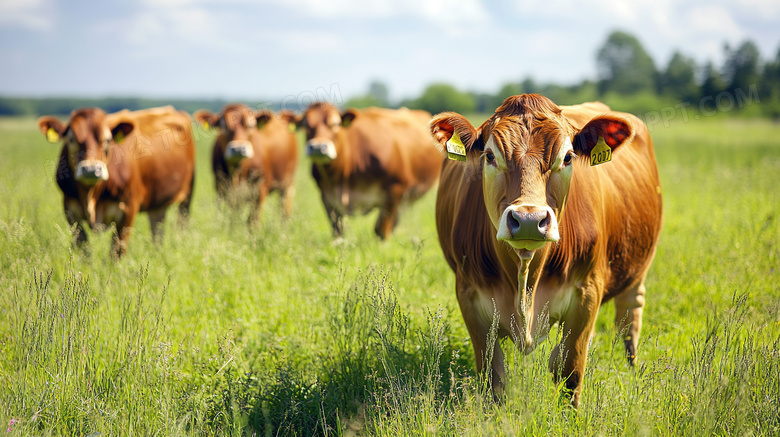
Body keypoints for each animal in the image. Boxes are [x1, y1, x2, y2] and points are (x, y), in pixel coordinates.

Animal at [37, 105, 197, 258]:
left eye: (107, 140)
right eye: (71, 139)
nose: (91, 169)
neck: (91, 196)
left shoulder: (128, 210)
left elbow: (117, 251)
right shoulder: (70, 211)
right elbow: (84, 249)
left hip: (187, 196)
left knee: (182, 222)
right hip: (157, 203)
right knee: (157, 230)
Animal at [300, 102, 442, 238]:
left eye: (335, 124)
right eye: (305, 125)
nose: (318, 147)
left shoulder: (394, 190)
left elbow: (381, 231)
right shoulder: (326, 195)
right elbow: (338, 229)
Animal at [430, 94, 660, 406]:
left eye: (567, 157)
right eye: (490, 156)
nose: (528, 219)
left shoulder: (587, 292)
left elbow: (569, 368)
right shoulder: (469, 295)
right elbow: (493, 373)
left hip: (638, 268)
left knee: (629, 317)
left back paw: (632, 366)